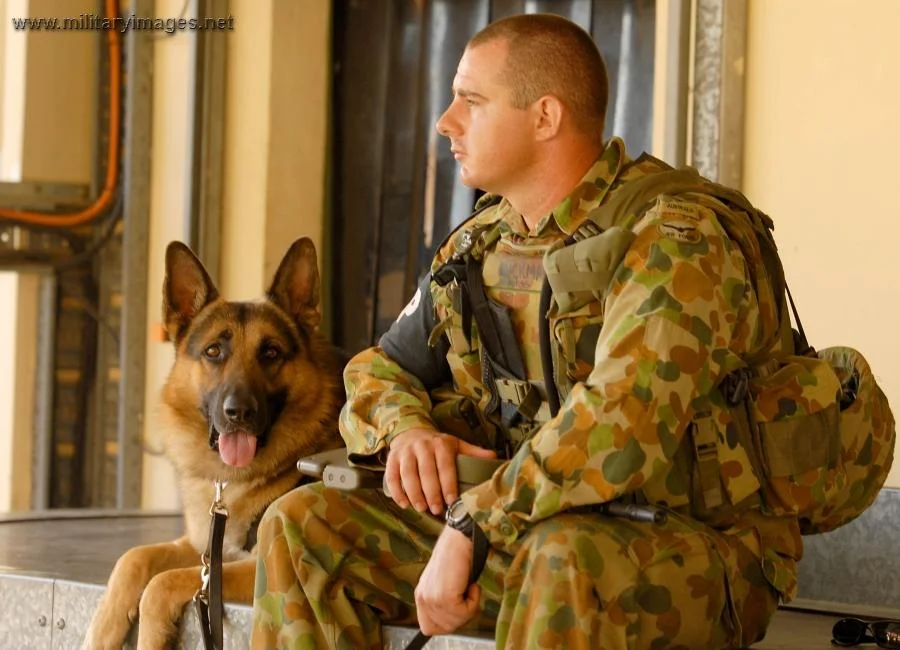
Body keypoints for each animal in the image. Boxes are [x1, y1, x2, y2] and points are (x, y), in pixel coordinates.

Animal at [84, 238, 346, 648]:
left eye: (270, 352)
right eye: (213, 351)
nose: (239, 412)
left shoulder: (248, 568)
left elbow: (162, 583)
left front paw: (152, 633)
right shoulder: (202, 547)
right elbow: (134, 557)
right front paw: (103, 630)